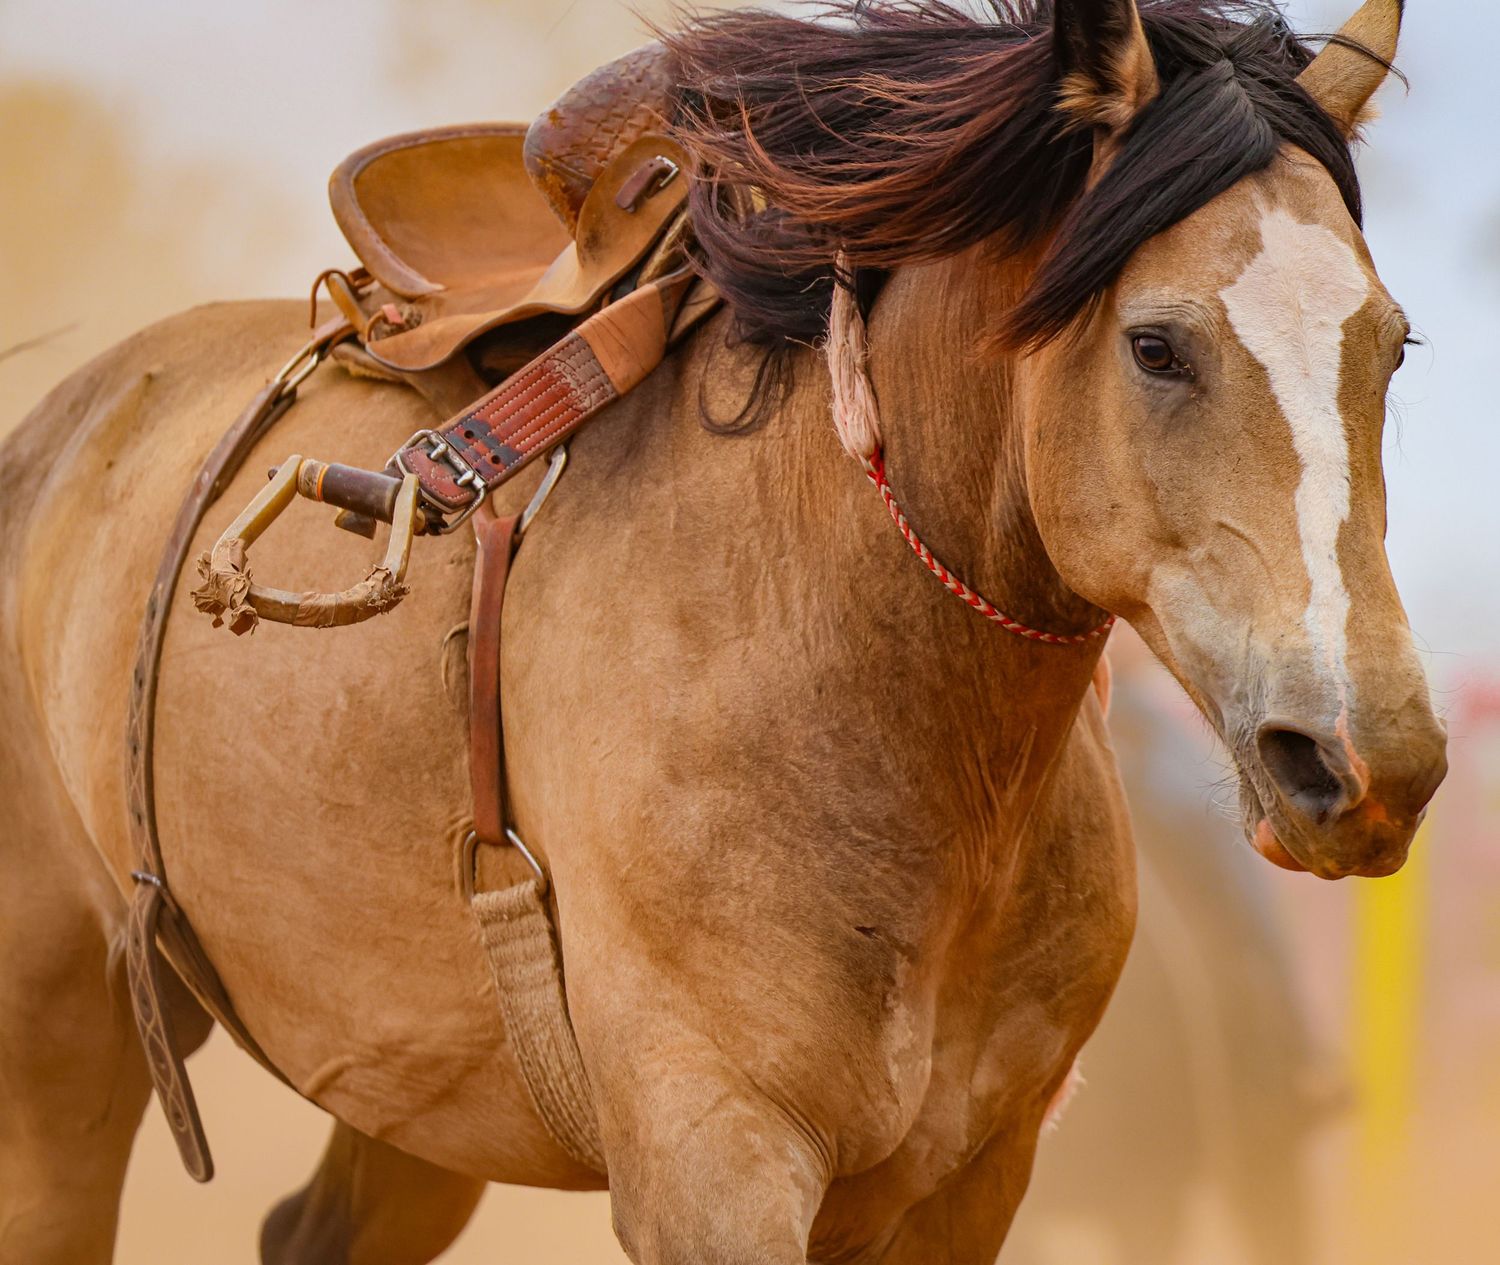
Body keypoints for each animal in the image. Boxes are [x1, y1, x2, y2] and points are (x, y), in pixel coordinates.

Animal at [0, 1, 1444, 1262]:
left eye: (1392, 345)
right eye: (1155, 345)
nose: (1368, 762)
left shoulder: (973, 1181)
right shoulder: (715, 1164)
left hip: (413, 1096)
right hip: (60, 1061)